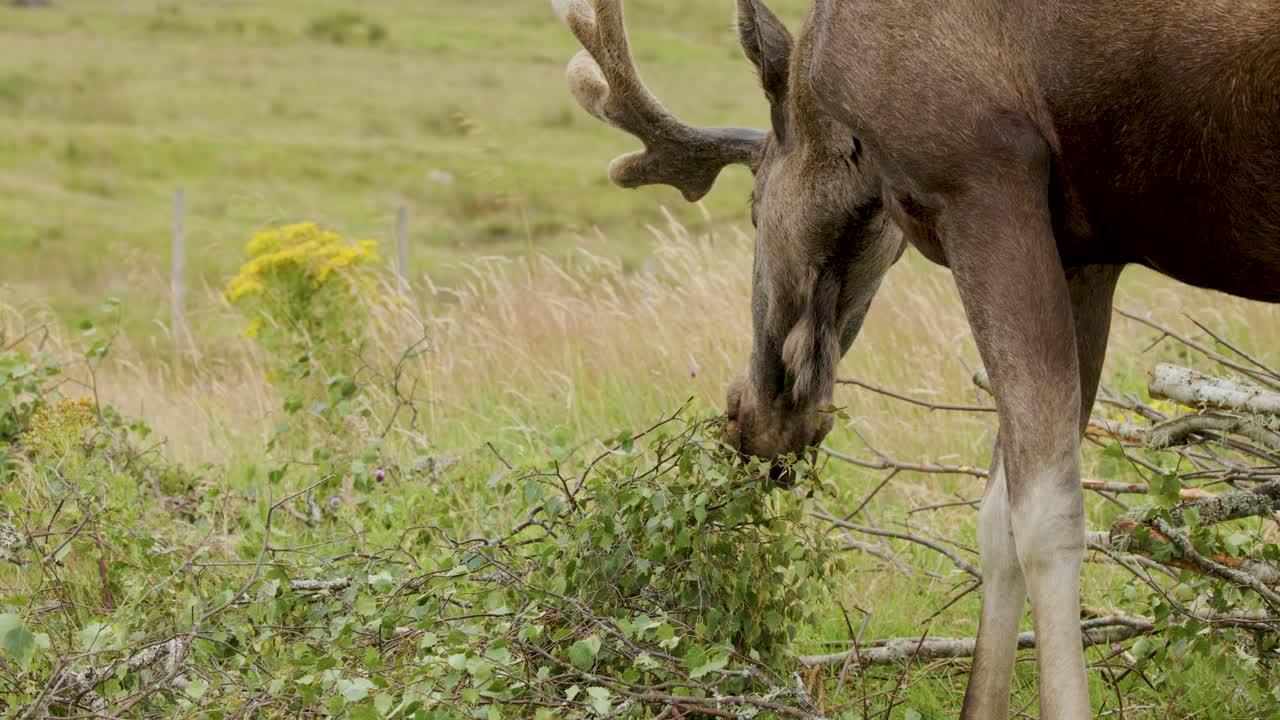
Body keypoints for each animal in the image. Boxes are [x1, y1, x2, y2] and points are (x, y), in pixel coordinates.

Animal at [552, 0, 1280, 717]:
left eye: (755, 209)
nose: (746, 418)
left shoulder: (982, 182)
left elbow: (1046, 518)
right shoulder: (1088, 253)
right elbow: (995, 518)